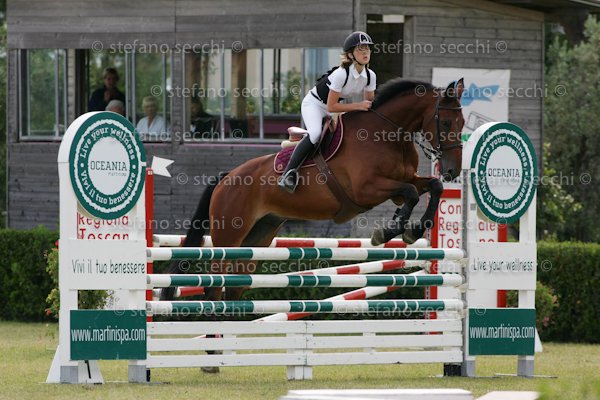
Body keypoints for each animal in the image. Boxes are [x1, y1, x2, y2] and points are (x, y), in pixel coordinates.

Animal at [161, 77, 465, 310]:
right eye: (446, 123)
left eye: (462, 123)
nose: (453, 171)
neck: (388, 132)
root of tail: (226, 178)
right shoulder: (366, 189)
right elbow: (411, 192)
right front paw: (389, 231)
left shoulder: (400, 184)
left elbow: (429, 188)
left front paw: (415, 229)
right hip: (229, 234)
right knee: (214, 287)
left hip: (258, 236)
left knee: (234, 289)